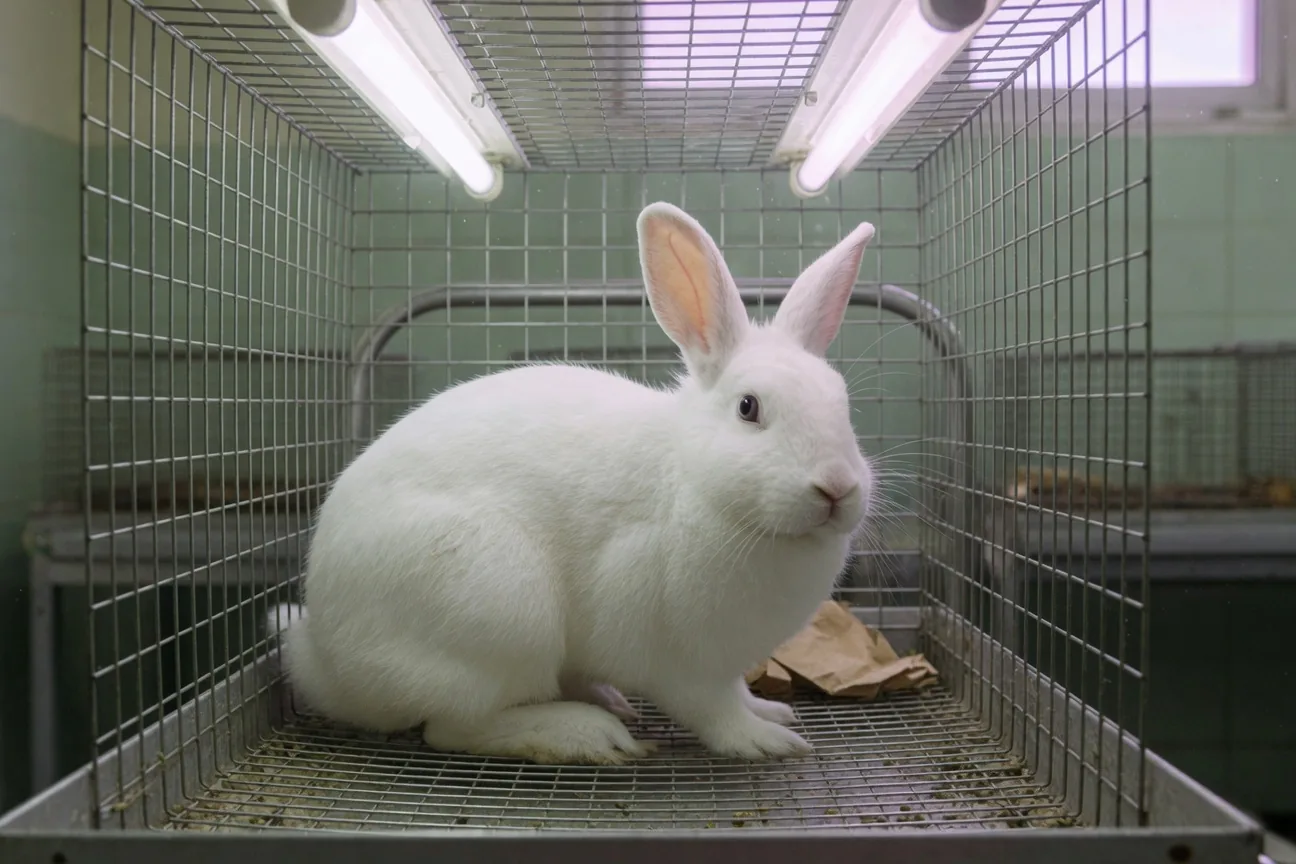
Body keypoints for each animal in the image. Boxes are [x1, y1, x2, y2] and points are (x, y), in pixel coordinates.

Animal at [269, 201, 878, 765]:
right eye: (749, 408)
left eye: (843, 402)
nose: (836, 488)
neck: (695, 483)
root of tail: (326, 660)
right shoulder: (680, 661)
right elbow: (714, 710)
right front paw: (764, 741)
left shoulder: (722, 662)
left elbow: (737, 693)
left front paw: (770, 710)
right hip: (500, 611)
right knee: (453, 727)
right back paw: (585, 734)